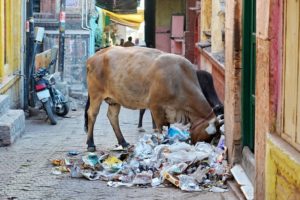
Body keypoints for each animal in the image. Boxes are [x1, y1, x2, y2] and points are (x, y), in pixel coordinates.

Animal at [84, 46, 218, 152]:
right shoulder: (155, 107)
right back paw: (90, 144)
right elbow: (160, 129)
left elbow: (167, 127)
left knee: (112, 117)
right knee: (92, 114)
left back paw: (123, 142)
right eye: (208, 136)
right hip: (96, 94)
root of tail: (95, 56)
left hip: (114, 100)